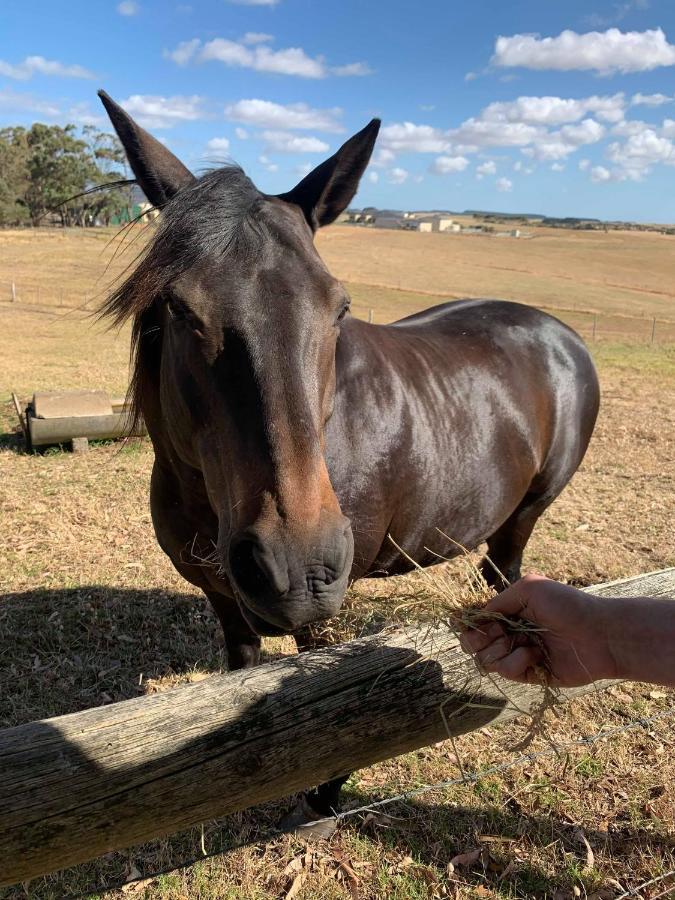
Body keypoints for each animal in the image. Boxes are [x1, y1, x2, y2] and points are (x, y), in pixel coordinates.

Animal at [97, 91, 600, 824]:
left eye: (339, 307)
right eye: (180, 308)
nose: (295, 564)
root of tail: (560, 334)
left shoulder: (324, 615)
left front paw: (323, 796)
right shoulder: (226, 601)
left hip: (525, 514)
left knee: (504, 574)